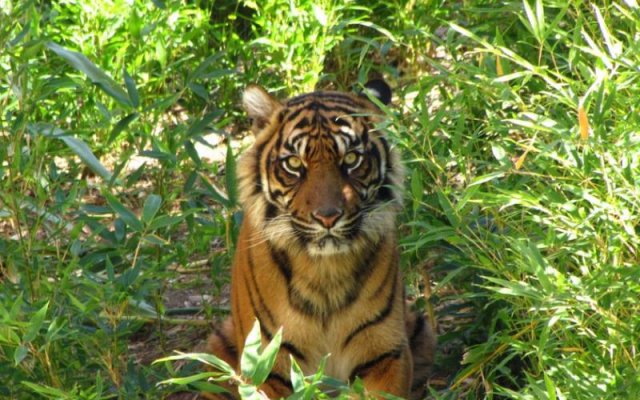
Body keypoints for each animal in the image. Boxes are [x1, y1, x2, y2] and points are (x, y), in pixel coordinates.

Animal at [208, 79, 438, 398]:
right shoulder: (266, 363)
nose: (327, 217)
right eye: (294, 163)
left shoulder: (384, 353)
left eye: (351, 159)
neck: (324, 272)